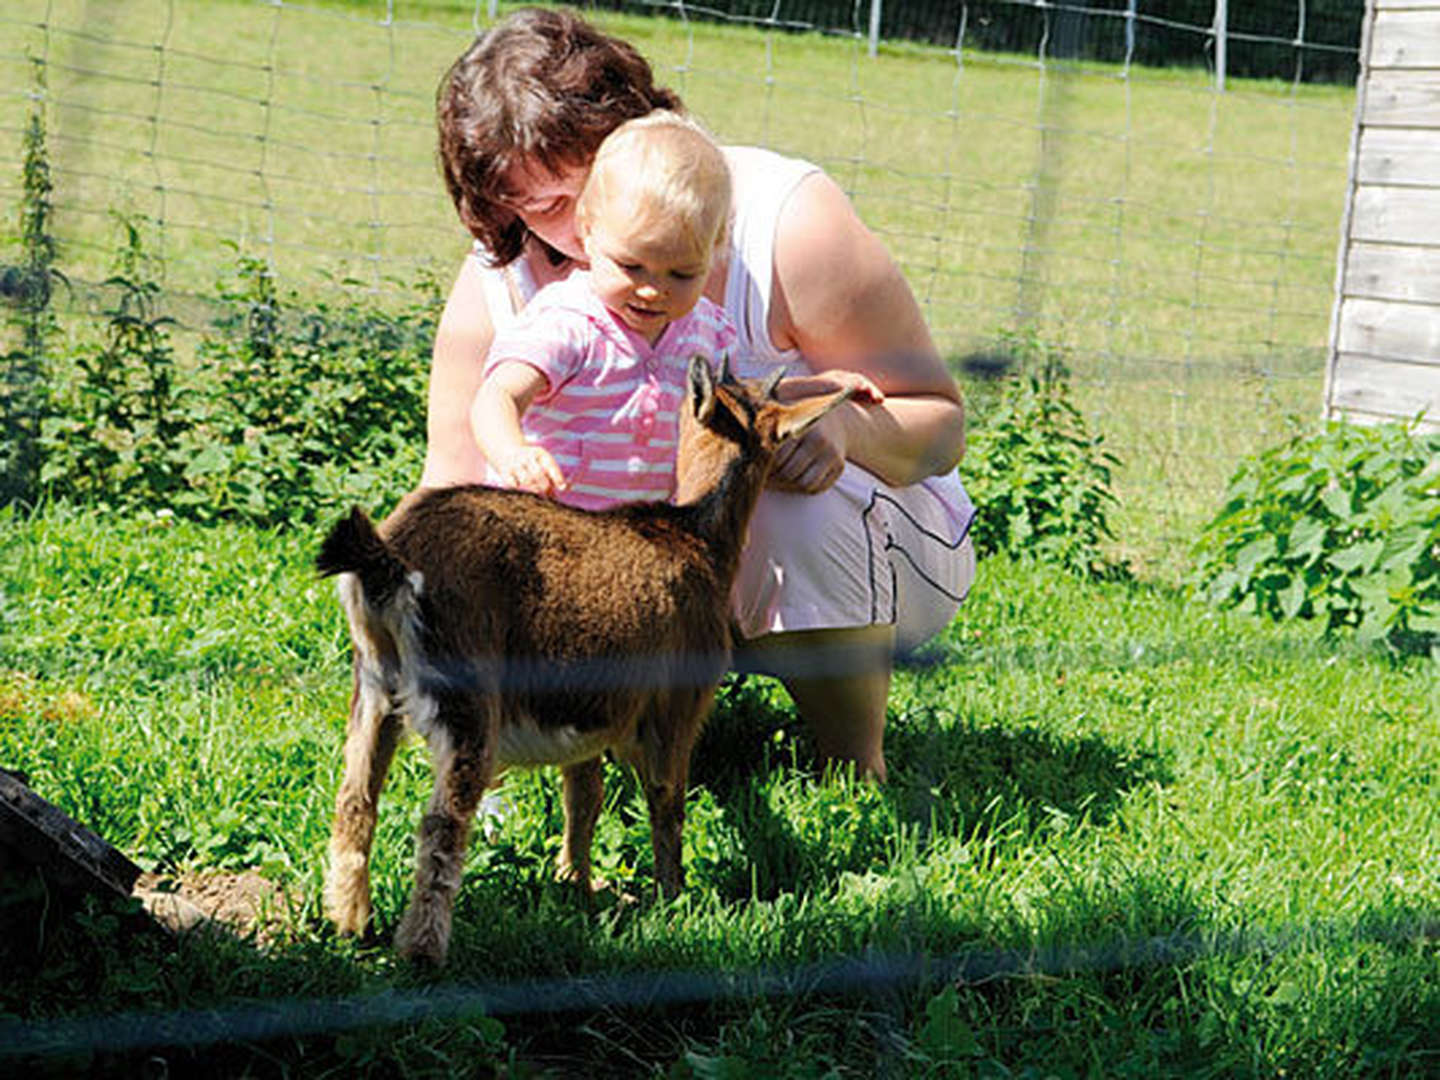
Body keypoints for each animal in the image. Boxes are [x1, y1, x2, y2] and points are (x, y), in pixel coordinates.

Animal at [318, 360, 852, 967]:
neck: (696, 536)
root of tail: (389, 560)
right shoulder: (679, 700)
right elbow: (667, 797)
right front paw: (675, 899)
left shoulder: (592, 713)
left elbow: (584, 797)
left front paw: (576, 883)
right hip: (466, 693)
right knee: (442, 820)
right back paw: (422, 952)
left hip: (374, 686)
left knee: (355, 799)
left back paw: (349, 924)